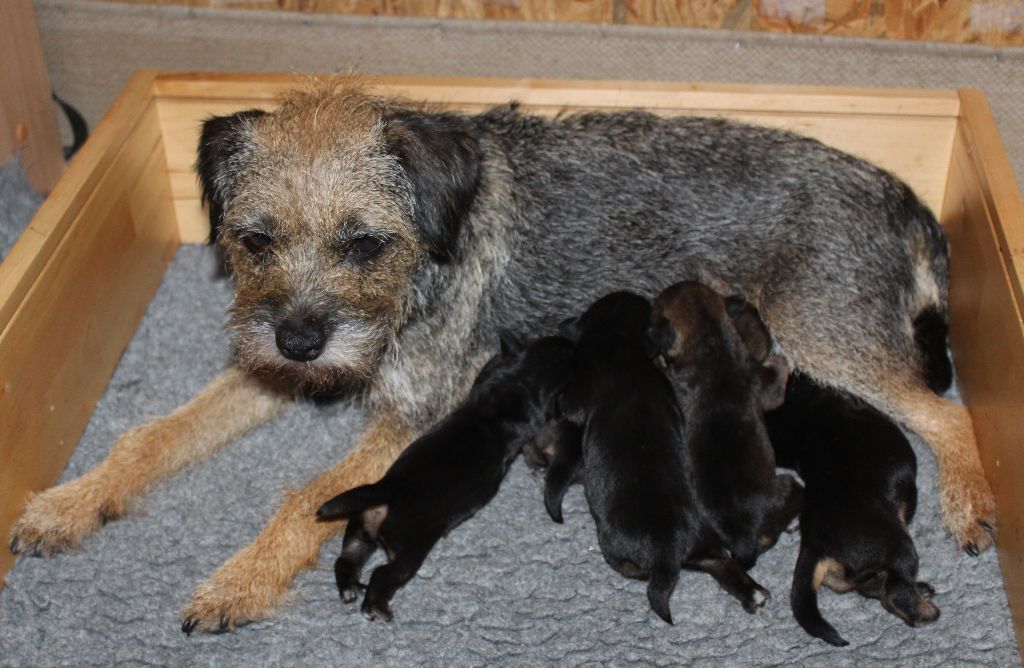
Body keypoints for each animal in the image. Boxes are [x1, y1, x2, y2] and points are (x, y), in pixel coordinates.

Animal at [315, 333, 573, 622]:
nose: (567, 338)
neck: (514, 383)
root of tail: (387, 488)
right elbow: (530, 442)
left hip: (360, 529)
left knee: (346, 558)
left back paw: (349, 588)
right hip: (408, 550)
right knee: (383, 573)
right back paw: (377, 607)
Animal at [647, 280, 798, 598]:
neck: (709, 342)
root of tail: (744, 538)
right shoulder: (764, 382)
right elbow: (777, 377)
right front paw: (783, 358)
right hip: (788, 484)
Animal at [765, 372, 937, 643]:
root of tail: (815, 547)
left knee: (878, 589)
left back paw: (920, 590)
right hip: (899, 547)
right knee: (894, 592)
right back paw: (926, 611)